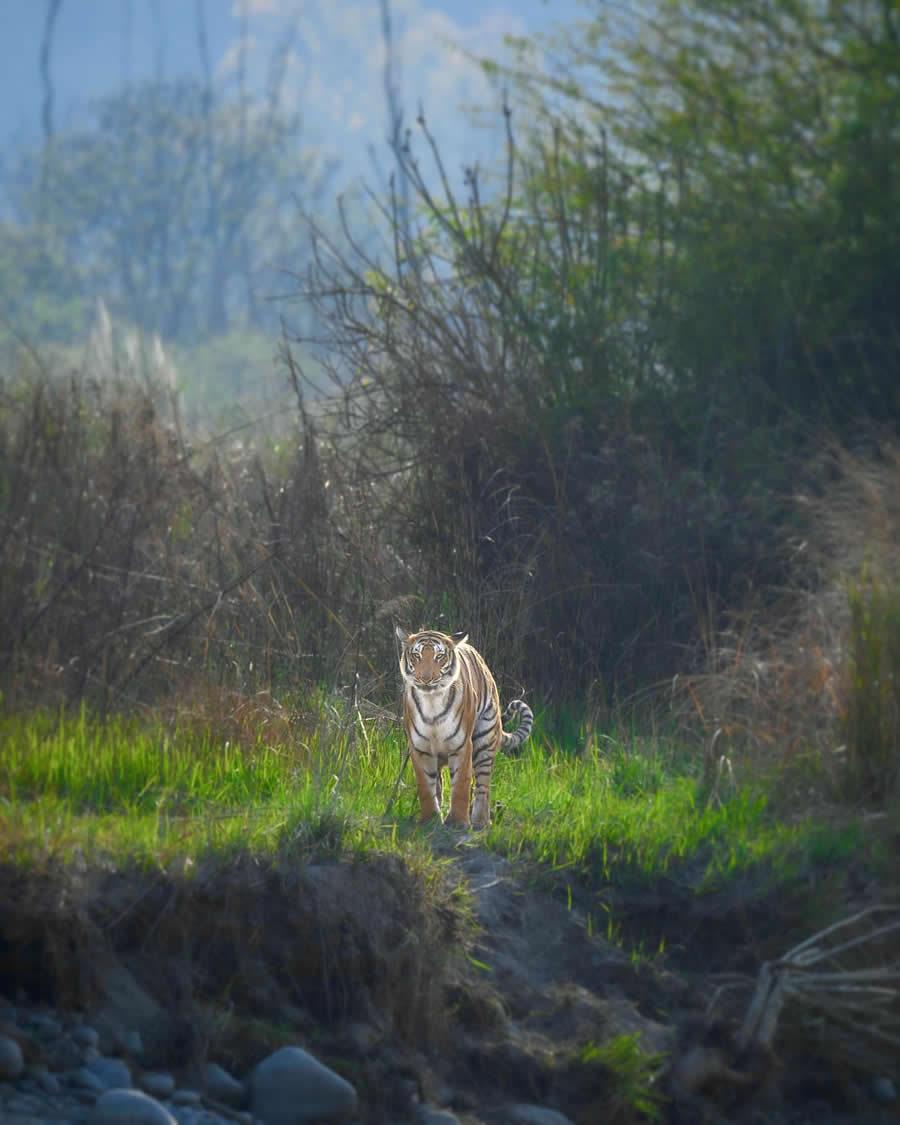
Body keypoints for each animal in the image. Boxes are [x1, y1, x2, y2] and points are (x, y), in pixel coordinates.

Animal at [396, 625, 535, 828]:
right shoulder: (419, 747)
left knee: (482, 787)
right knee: (439, 784)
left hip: (485, 740)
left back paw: (480, 821)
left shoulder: (461, 745)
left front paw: (458, 822)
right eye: (417, 655)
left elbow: (461, 784)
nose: (426, 679)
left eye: (439, 656)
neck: (432, 701)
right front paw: (430, 821)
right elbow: (426, 787)